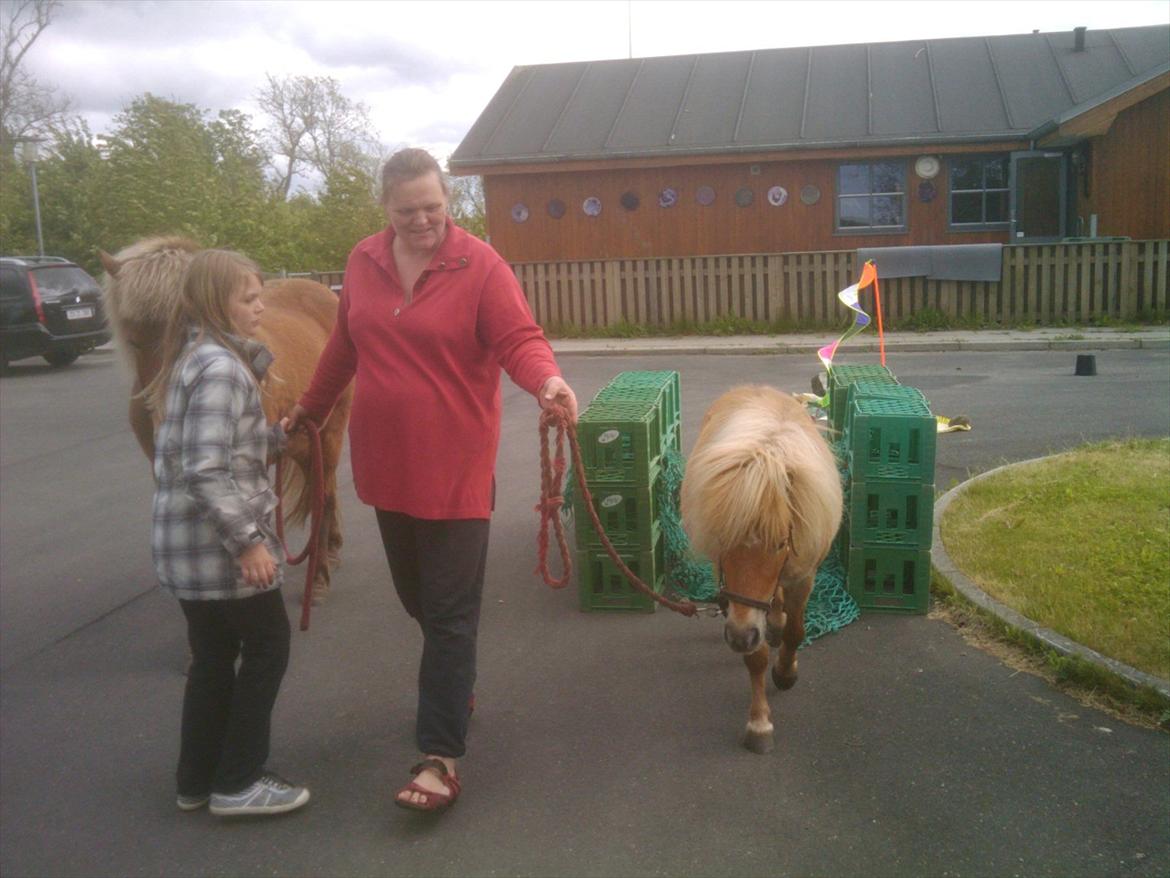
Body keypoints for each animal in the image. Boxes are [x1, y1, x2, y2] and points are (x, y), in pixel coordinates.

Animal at [100, 237, 351, 608]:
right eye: (133, 340)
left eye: (187, 330)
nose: (165, 422)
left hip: (328, 436)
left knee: (325, 495)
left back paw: (319, 574)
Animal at [683, 386, 847, 758]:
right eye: (725, 538)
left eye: (779, 543)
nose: (739, 637)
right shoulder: (740, 607)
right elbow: (755, 657)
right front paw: (759, 724)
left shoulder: (802, 577)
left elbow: (796, 632)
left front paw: (786, 672)